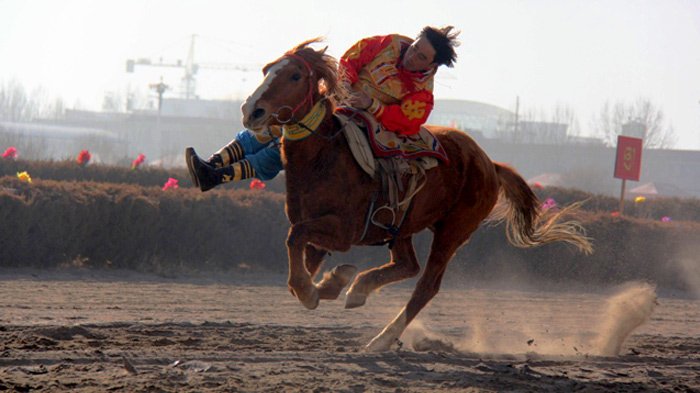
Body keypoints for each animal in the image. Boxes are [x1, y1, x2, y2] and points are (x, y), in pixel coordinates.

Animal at [241, 39, 592, 352]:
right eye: (266, 70)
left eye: (295, 75)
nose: (252, 110)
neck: (324, 156)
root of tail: (489, 164)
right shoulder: (319, 230)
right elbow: (299, 256)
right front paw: (331, 282)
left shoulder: (344, 231)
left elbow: (295, 240)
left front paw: (318, 287)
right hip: (401, 226)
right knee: (407, 264)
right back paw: (359, 289)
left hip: (453, 232)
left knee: (426, 285)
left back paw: (381, 339)